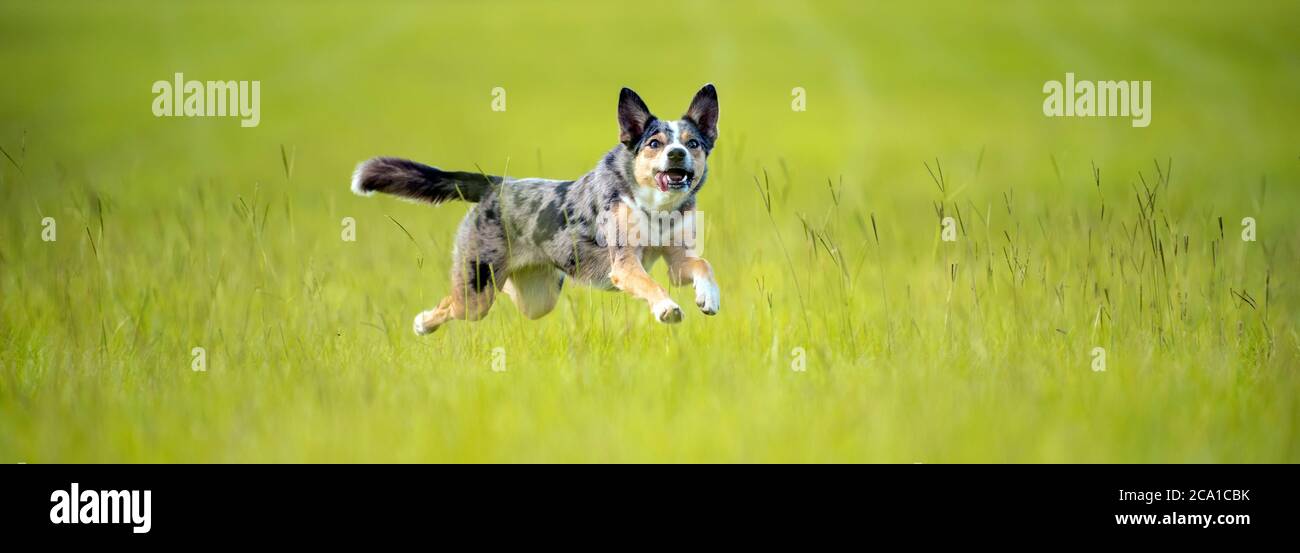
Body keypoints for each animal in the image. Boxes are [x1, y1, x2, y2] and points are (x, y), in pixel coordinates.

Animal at [351, 81, 722, 331]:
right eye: (654, 144)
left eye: (692, 143)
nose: (677, 154)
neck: (657, 210)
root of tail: (496, 184)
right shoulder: (625, 264)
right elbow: (651, 284)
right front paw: (666, 308)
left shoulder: (677, 261)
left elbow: (702, 264)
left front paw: (709, 298)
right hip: (477, 292)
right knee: (452, 303)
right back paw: (422, 323)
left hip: (537, 298)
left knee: (511, 296)